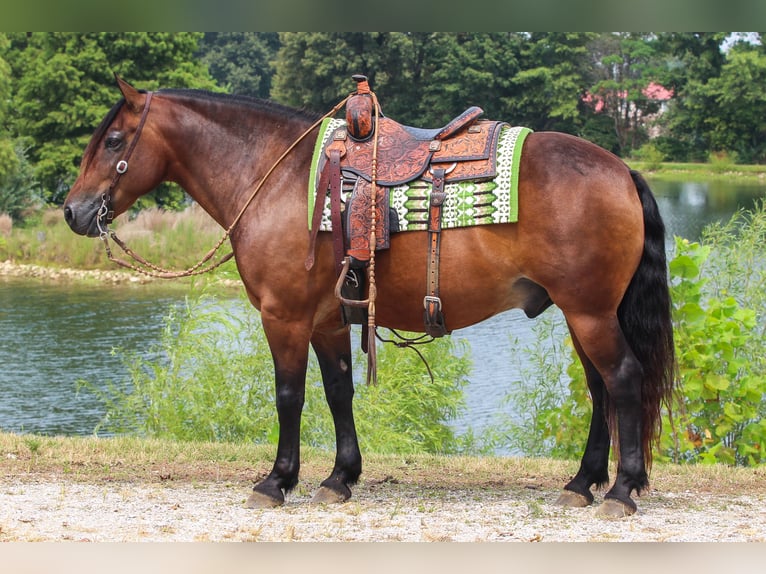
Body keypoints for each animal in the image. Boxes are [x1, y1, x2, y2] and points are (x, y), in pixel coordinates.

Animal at [63, 76, 676, 518]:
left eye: (113, 141)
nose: (73, 211)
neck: (278, 178)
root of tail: (621, 168)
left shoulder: (284, 318)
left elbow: (289, 396)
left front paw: (277, 480)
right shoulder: (328, 320)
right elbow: (339, 393)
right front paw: (340, 477)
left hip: (590, 313)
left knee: (622, 379)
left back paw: (621, 490)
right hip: (581, 314)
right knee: (599, 390)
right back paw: (582, 482)